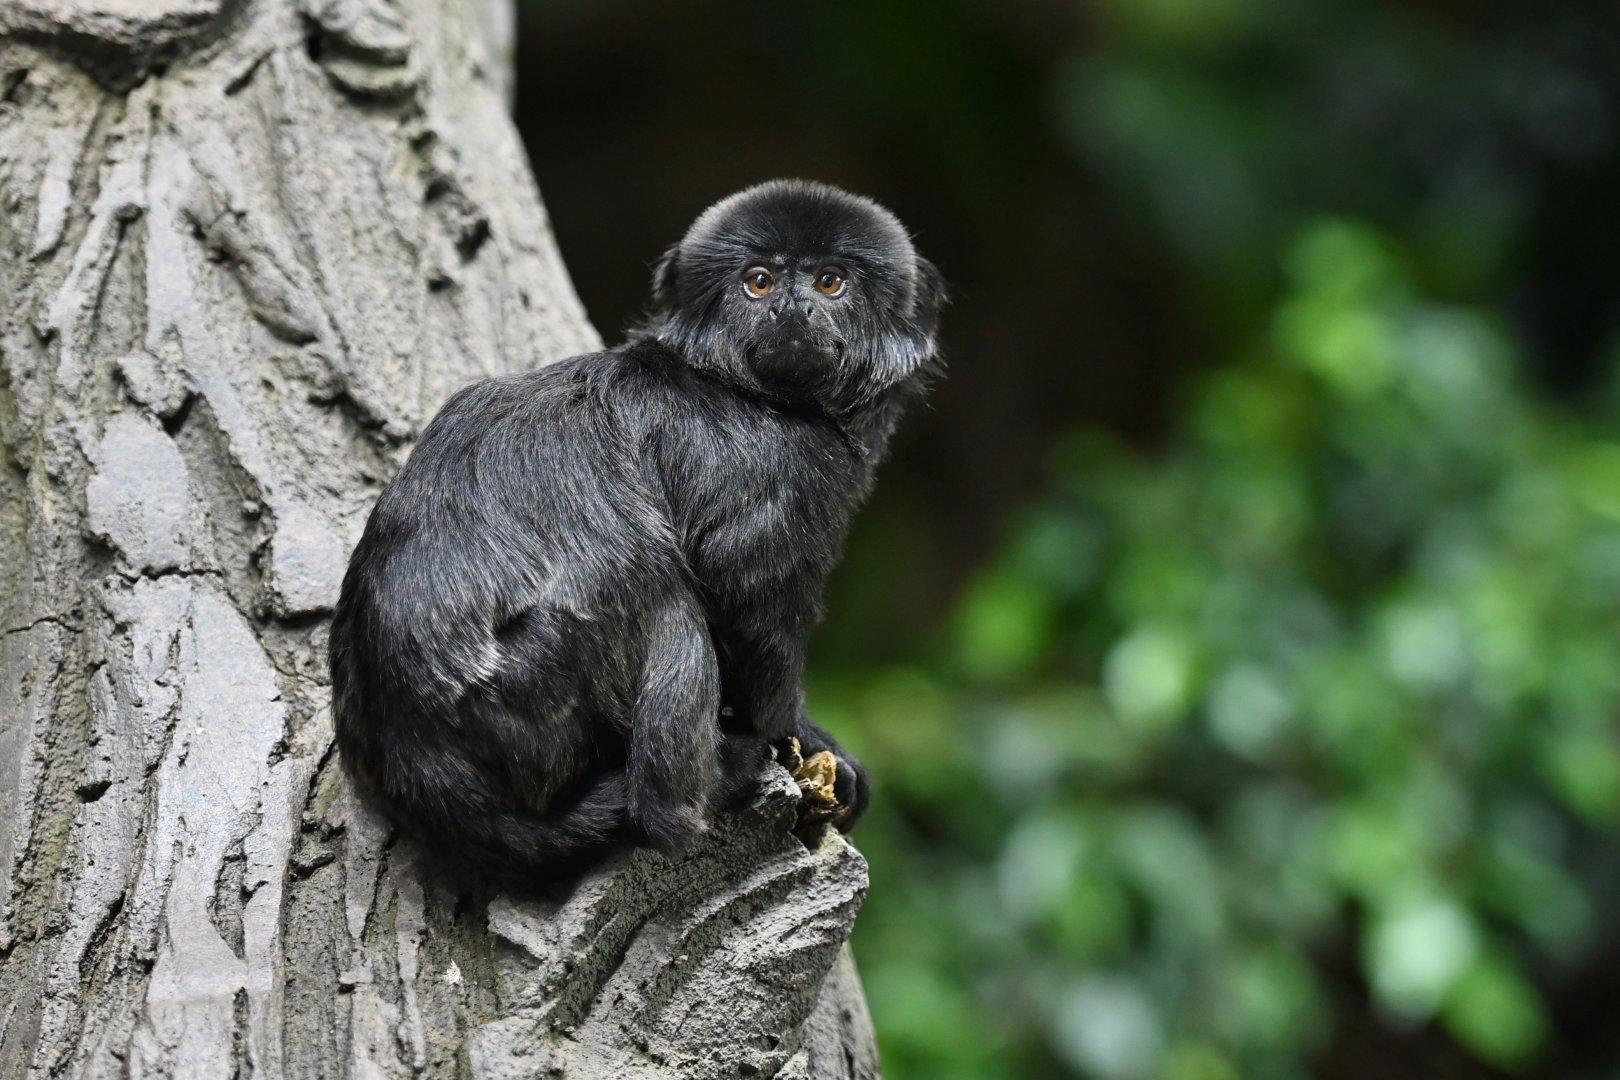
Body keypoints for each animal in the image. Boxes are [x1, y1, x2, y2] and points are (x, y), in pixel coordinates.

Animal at [329, 179, 944, 883]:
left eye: (830, 281)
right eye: (759, 282)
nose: (793, 307)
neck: (755, 393)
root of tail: (416, 753)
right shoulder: (778, 473)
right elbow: (743, 596)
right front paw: (798, 736)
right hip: (523, 683)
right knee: (658, 592)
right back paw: (696, 794)